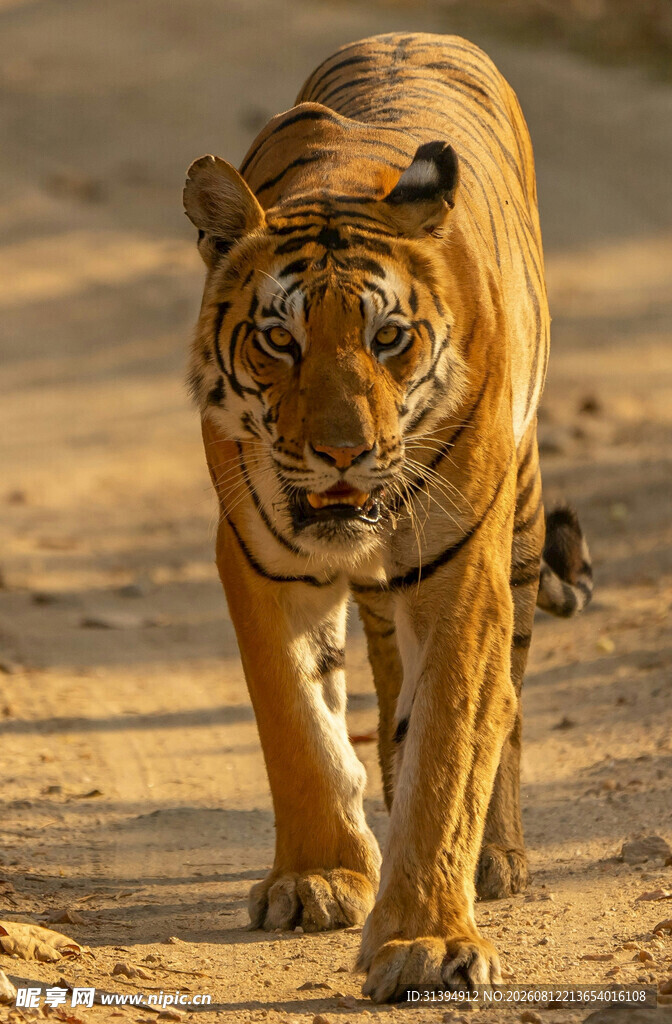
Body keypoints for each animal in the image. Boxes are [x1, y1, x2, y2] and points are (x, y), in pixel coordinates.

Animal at [182, 32, 593, 1002]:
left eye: (388, 338)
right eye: (279, 339)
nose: (342, 452)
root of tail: (419, 33)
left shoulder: (464, 574)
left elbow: (452, 739)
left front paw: (427, 940)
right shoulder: (259, 560)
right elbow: (296, 719)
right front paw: (319, 877)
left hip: (521, 525)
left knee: (507, 695)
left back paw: (497, 858)